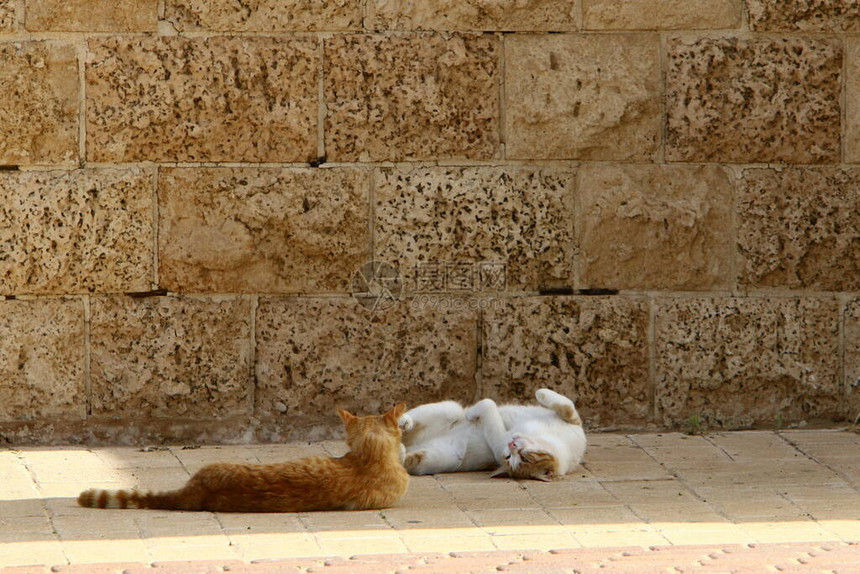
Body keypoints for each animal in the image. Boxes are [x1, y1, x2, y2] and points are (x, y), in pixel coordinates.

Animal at [400, 392, 588, 482]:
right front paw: (541, 393)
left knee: (405, 458)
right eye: (510, 456)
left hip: (439, 459)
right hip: (449, 409)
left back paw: (400, 449)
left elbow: (488, 405)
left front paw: (473, 413)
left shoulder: (499, 441)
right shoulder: (573, 421)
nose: (512, 445)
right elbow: (567, 405)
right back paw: (403, 422)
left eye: (522, 459)